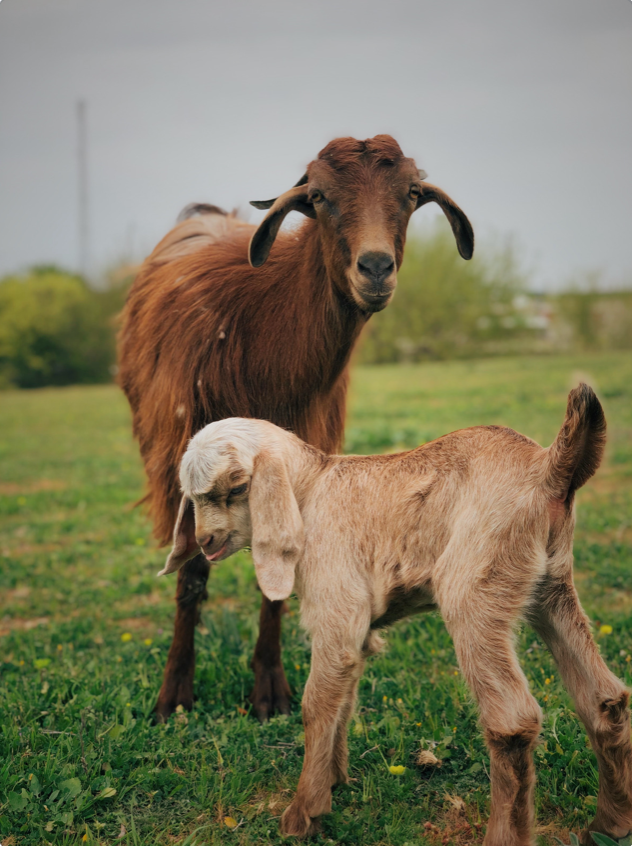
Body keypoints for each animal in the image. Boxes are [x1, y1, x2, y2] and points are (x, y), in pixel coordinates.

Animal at [118, 132, 474, 724]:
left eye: (410, 192)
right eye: (321, 196)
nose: (375, 267)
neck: (256, 328)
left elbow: (278, 574)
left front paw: (270, 691)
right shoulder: (184, 457)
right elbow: (191, 574)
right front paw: (174, 697)